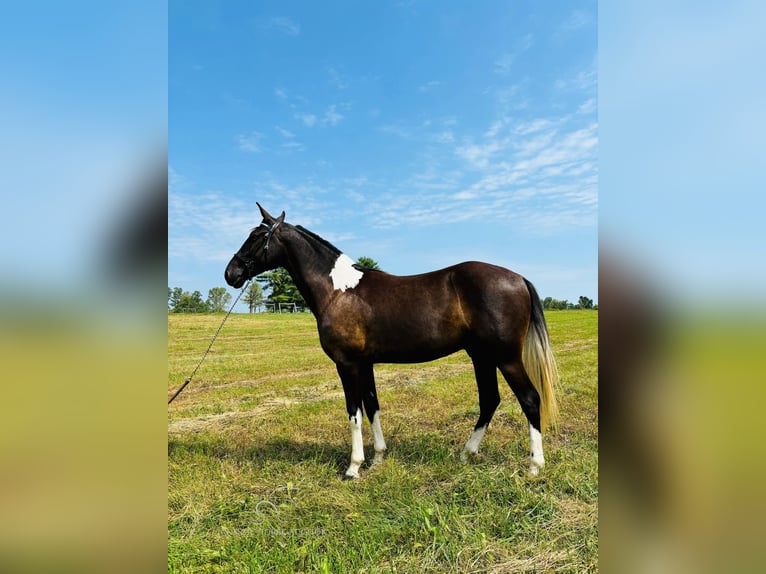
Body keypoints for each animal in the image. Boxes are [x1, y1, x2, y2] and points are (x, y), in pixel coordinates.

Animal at [225, 205, 560, 480]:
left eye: (256, 235)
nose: (231, 273)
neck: (338, 290)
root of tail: (518, 278)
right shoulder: (365, 363)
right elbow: (372, 406)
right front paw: (378, 458)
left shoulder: (347, 364)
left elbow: (354, 411)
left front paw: (353, 467)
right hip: (482, 357)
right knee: (490, 400)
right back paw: (466, 454)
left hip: (506, 358)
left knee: (530, 399)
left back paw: (534, 466)